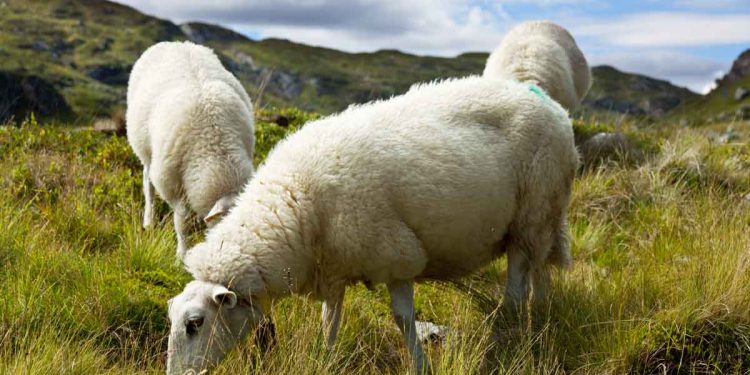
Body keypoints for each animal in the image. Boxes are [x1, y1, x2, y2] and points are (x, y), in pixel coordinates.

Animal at [128, 40, 258, 258]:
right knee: (147, 183)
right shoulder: (170, 182)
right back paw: (148, 221)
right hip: (144, 148)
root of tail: (175, 42)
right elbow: (181, 221)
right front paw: (182, 254)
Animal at [166, 74, 580, 375]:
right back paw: (541, 316)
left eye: (195, 323)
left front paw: (420, 364)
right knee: (539, 271)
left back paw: (507, 336)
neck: (296, 206)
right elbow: (330, 320)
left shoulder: (395, 254)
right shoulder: (332, 266)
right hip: (541, 219)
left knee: (517, 285)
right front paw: (326, 358)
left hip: (533, 211)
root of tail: (554, 108)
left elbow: (402, 319)